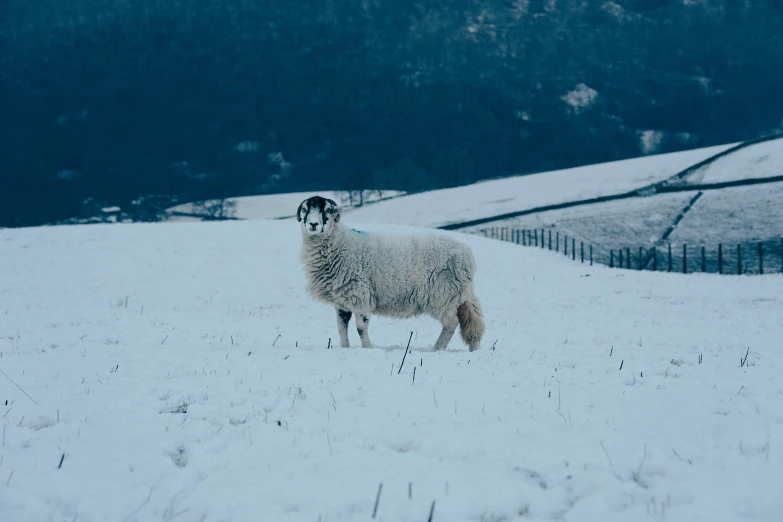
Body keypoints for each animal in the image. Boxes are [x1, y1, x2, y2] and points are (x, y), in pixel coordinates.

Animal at [298, 194, 486, 350]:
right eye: (305, 210)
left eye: (327, 210)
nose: (313, 224)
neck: (341, 244)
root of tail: (465, 253)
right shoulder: (342, 300)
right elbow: (341, 327)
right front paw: (345, 348)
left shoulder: (360, 295)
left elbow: (360, 328)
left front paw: (368, 348)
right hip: (457, 295)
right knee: (471, 320)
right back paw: (473, 348)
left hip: (442, 295)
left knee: (451, 323)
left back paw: (437, 349)